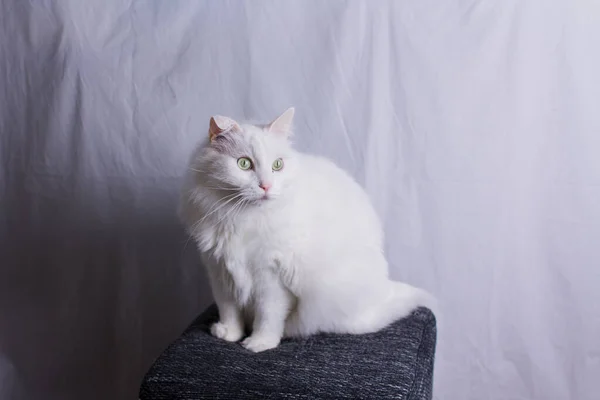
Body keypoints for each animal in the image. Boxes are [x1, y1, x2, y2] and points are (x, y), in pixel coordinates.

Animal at [179, 108, 436, 352]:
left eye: (277, 165)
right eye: (244, 164)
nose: (266, 186)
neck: (241, 219)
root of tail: (383, 290)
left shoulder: (270, 276)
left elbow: (268, 315)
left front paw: (260, 343)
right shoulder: (219, 270)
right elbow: (229, 309)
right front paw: (229, 334)